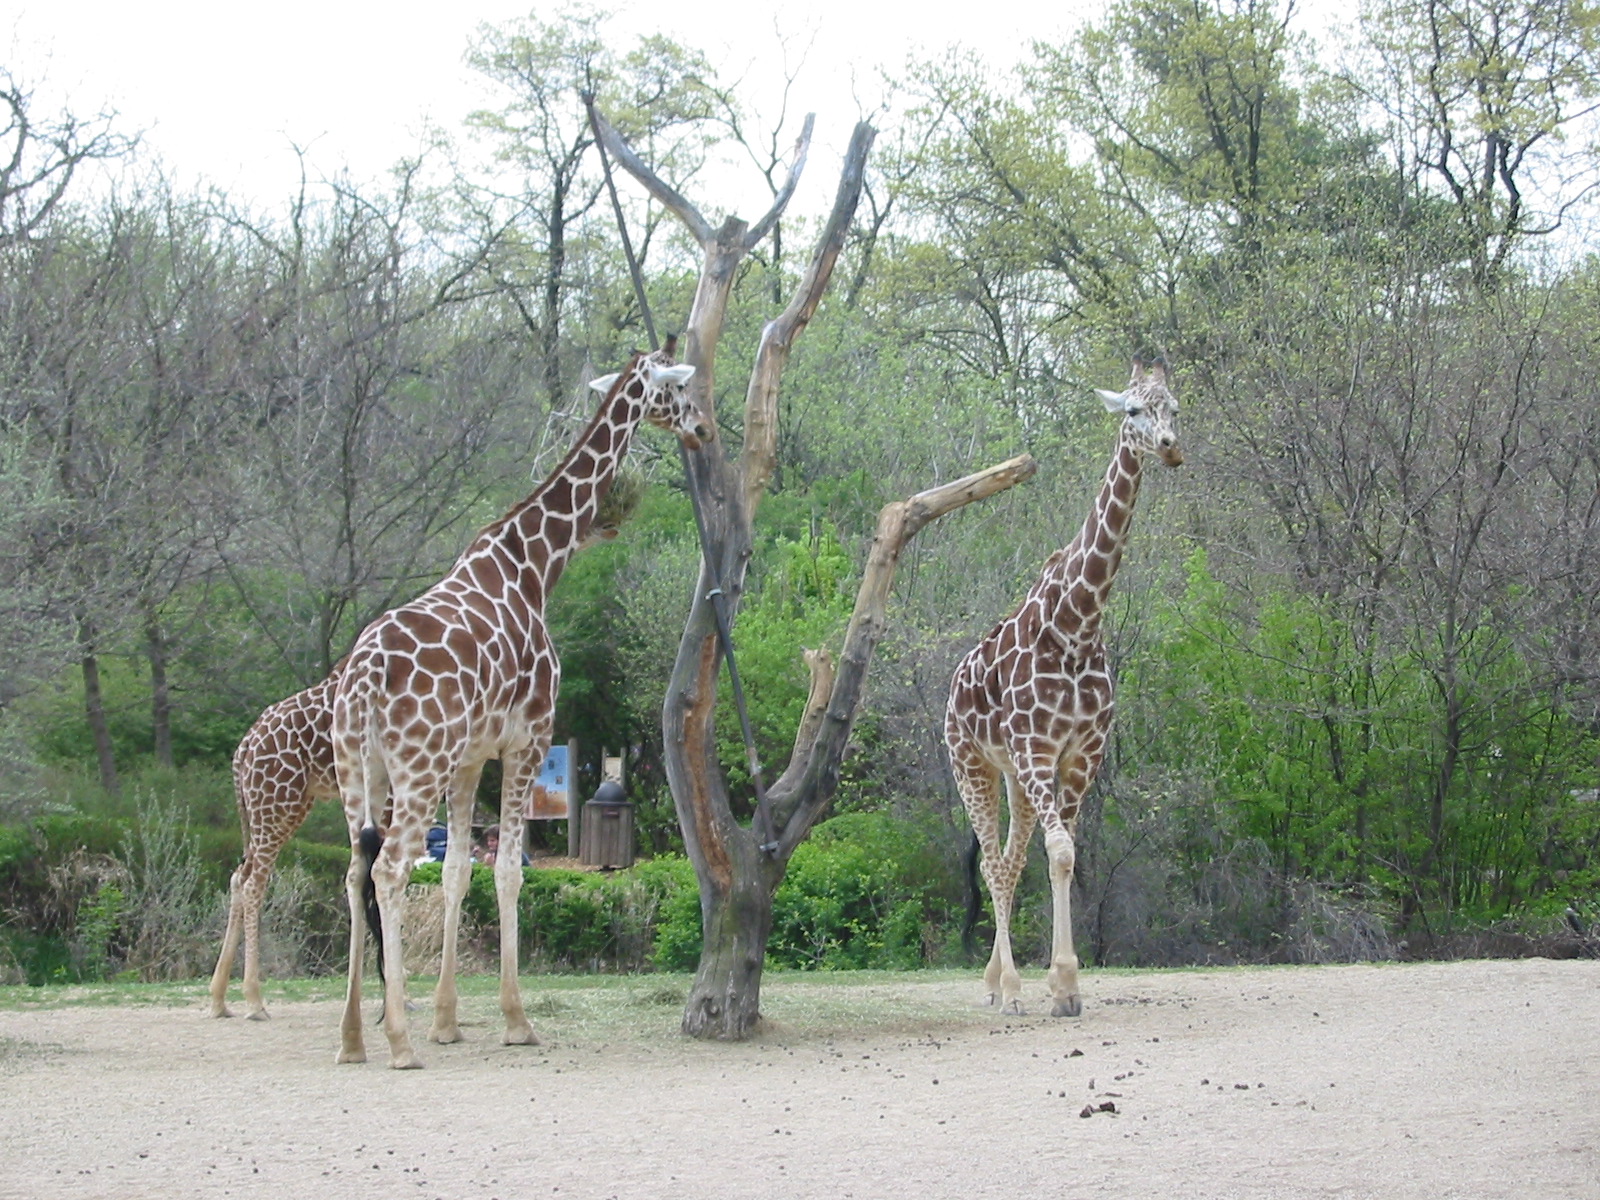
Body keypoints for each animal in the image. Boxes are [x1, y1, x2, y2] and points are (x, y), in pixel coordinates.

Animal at [332, 345, 709, 1068]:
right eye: (679, 390)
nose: (704, 429)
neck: (535, 565)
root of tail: (362, 676)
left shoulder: (471, 756)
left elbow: (456, 872)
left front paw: (448, 1020)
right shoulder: (528, 737)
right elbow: (506, 871)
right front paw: (515, 1019)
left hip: (360, 770)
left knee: (355, 869)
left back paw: (352, 1038)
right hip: (416, 767)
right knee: (389, 869)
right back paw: (397, 1042)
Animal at [945, 356, 1182, 1018]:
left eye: (1175, 407)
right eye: (1133, 409)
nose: (1169, 446)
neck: (1076, 624)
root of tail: (950, 688)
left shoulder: (1080, 754)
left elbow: (1064, 855)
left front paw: (1064, 985)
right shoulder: (1036, 751)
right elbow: (1058, 854)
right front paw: (1057, 983)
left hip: (1016, 778)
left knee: (1008, 859)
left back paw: (996, 981)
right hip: (972, 766)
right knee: (993, 866)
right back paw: (1006, 989)